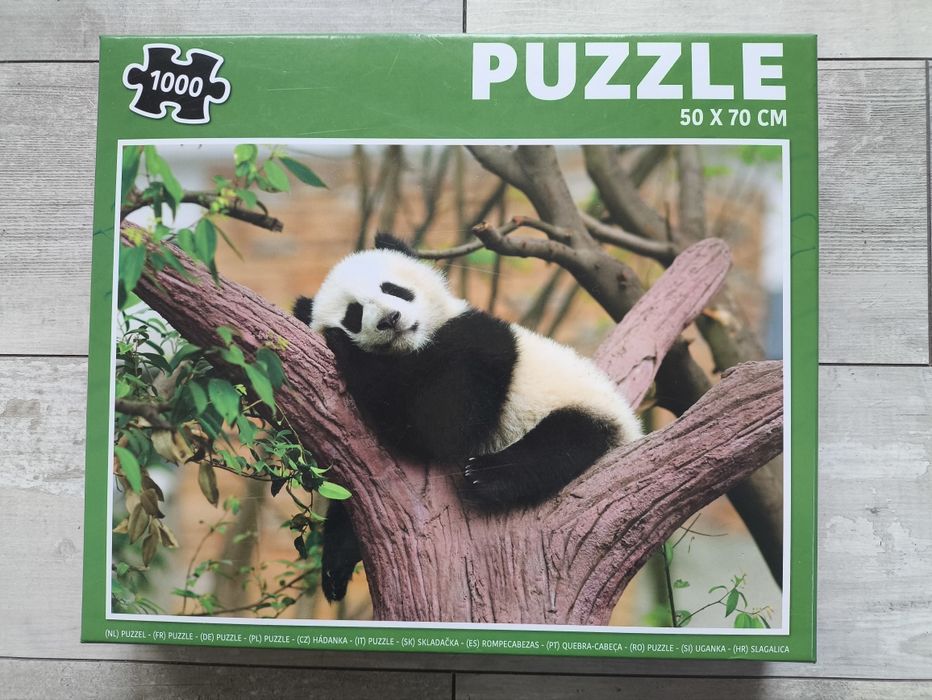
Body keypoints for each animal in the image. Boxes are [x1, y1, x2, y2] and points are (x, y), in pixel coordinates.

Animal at [294, 233, 642, 601]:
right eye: (354, 313)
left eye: (393, 289)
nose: (390, 318)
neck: (416, 346)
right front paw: (335, 567)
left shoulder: (477, 344)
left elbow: (439, 427)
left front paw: (343, 346)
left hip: (583, 407)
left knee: (562, 442)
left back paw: (485, 476)